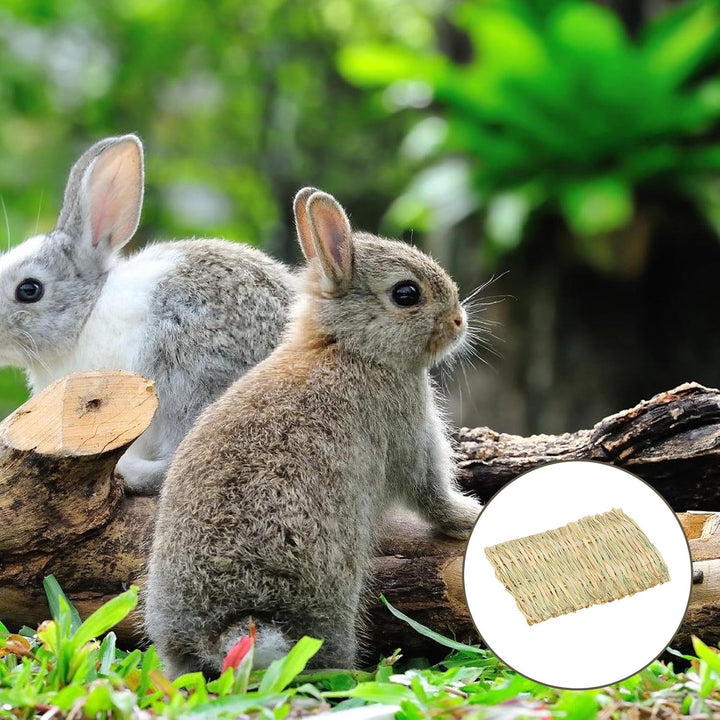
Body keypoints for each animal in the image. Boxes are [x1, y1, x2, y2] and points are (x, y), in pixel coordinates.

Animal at [145, 187, 482, 678]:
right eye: (407, 294)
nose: (459, 321)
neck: (349, 347)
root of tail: (227, 627)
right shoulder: (410, 434)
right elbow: (432, 495)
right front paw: (471, 516)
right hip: (331, 597)